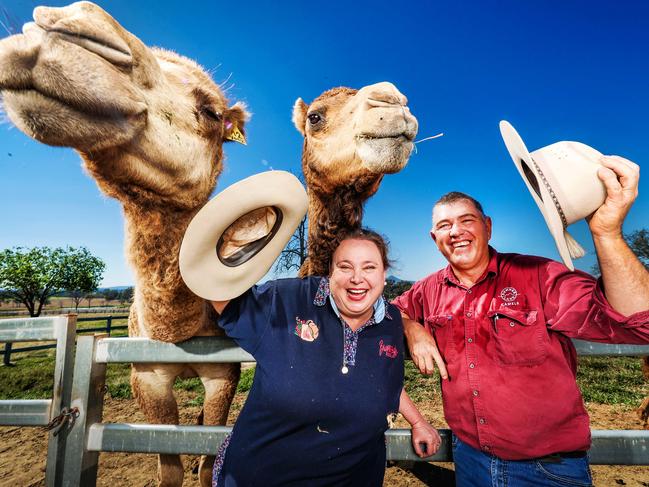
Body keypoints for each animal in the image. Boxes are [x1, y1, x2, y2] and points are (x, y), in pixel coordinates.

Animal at [0, 1, 247, 486]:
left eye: (211, 112)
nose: (67, 24)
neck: (175, 334)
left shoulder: (223, 372)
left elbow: (208, 460)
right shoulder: (145, 375)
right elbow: (169, 467)